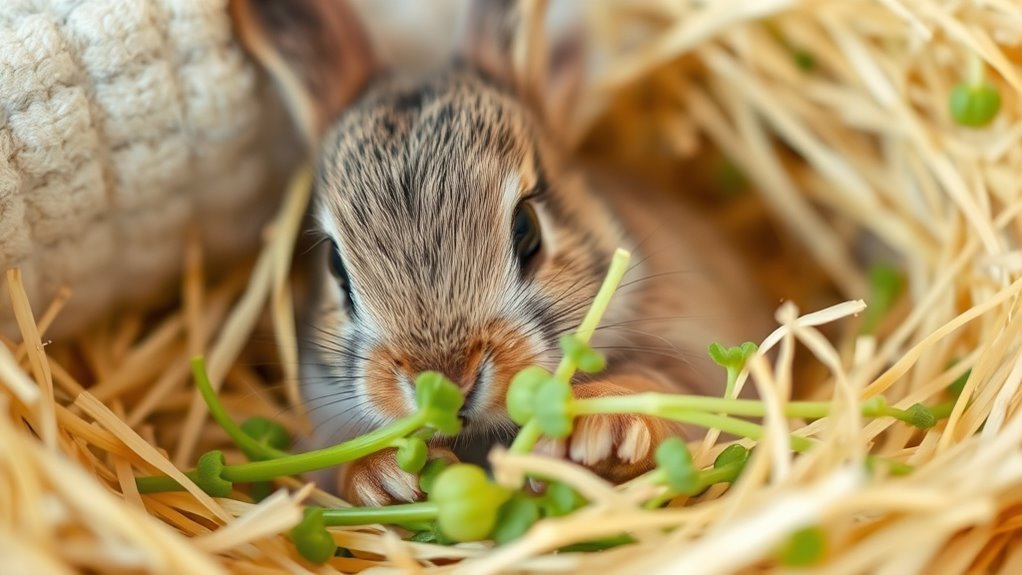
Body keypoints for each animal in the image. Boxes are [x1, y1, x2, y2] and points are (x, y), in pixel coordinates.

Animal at [232, 0, 771, 506]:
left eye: (527, 228)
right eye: (334, 265)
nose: (450, 380)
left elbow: (664, 389)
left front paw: (595, 431)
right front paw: (385, 478)